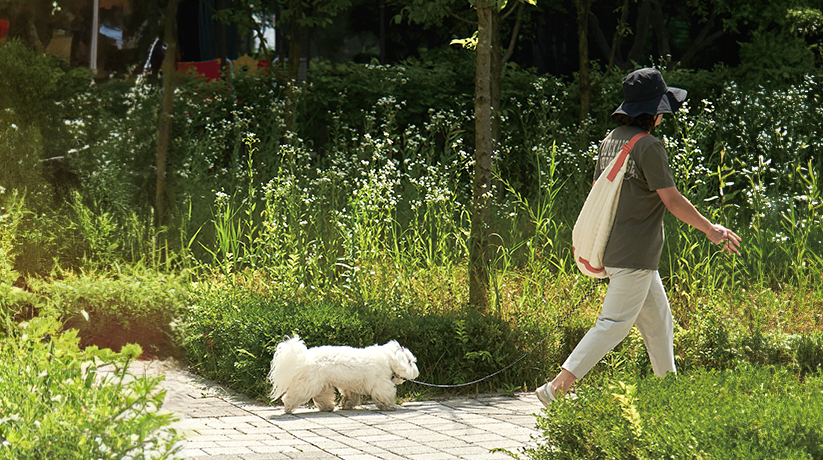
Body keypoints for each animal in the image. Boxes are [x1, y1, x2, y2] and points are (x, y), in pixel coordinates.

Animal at [268, 334, 418, 414]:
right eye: (410, 362)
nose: (416, 371)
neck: (388, 358)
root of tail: (305, 358)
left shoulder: (351, 385)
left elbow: (350, 397)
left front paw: (346, 404)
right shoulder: (381, 385)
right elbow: (385, 396)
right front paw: (390, 406)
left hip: (322, 385)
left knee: (321, 398)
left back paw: (327, 407)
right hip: (308, 385)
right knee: (292, 396)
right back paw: (288, 408)